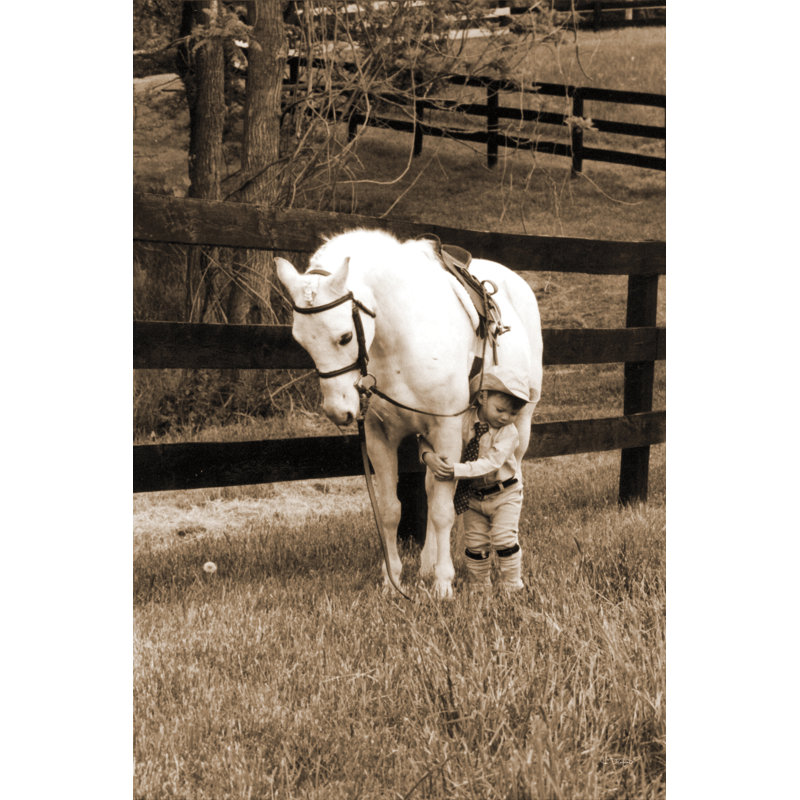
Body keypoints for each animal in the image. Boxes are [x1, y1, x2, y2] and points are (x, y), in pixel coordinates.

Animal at [276, 229, 542, 598]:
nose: (339, 411)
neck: (402, 340)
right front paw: (393, 581)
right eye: (301, 341)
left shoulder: (446, 431)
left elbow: (444, 511)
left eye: (344, 336)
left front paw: (443, 584)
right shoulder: (380, 438)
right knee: (432, 489)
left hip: (520, 425)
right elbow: (391, 510)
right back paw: (427, 563)